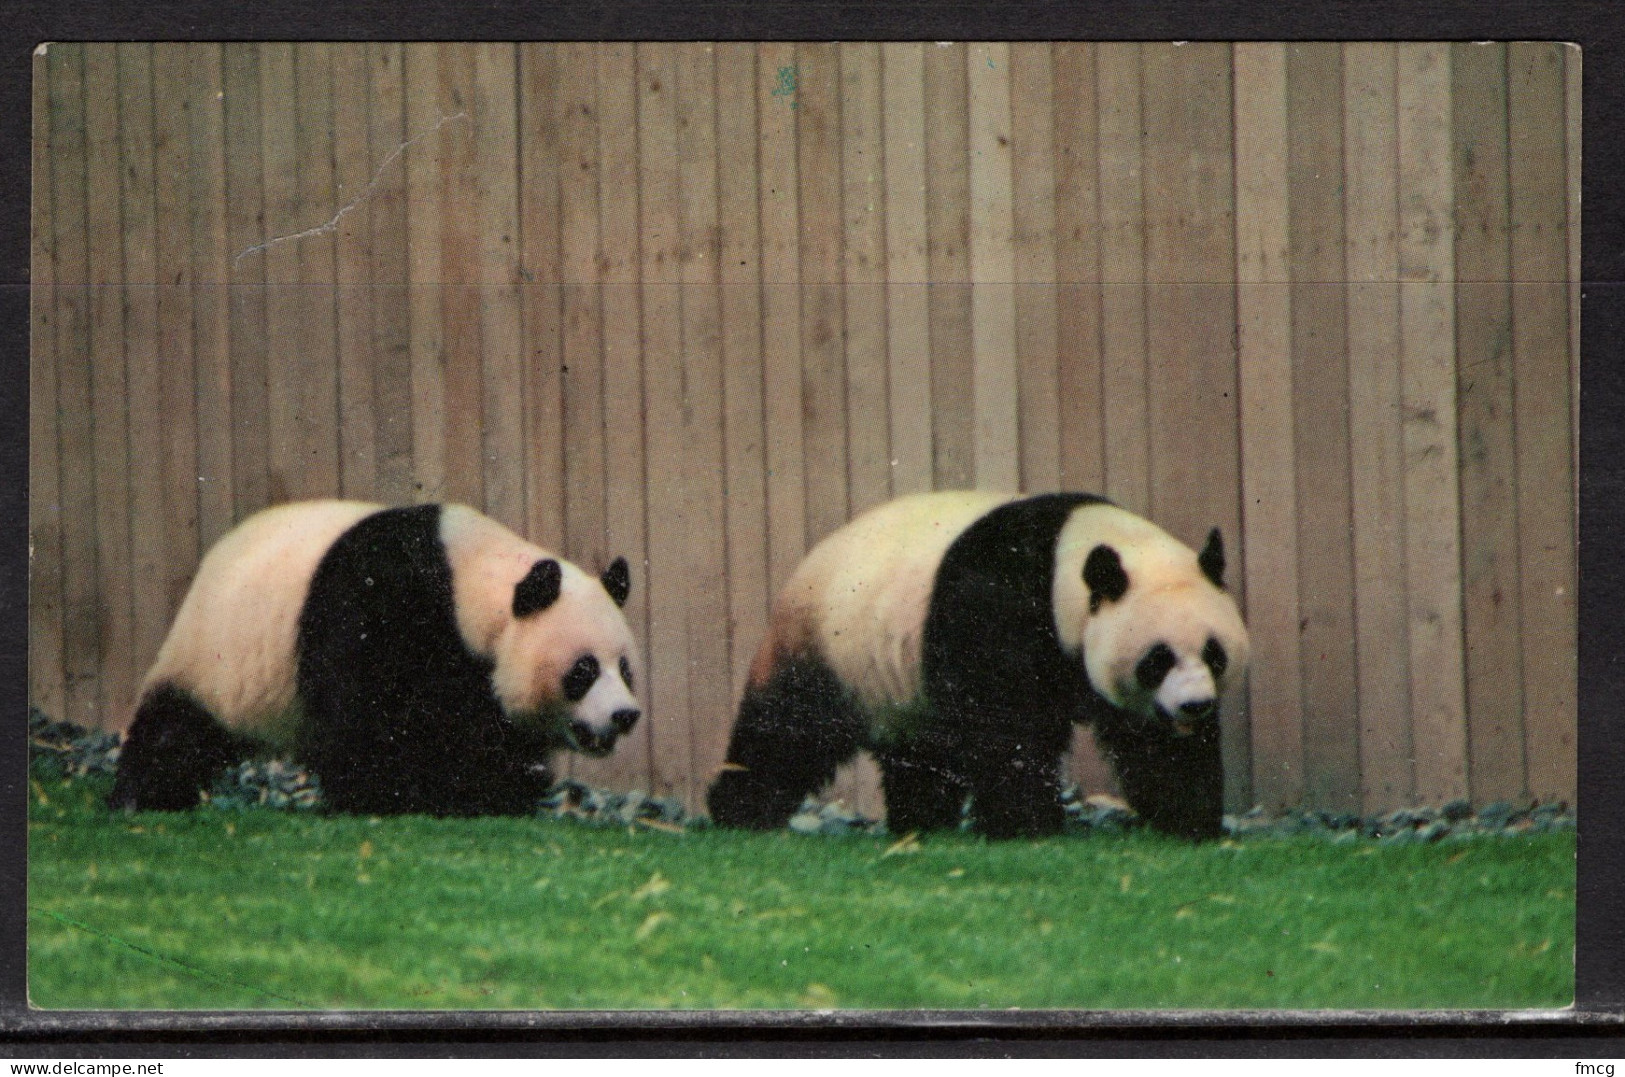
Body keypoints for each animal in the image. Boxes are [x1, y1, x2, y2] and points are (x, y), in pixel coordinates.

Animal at [106, 503, 640, 818]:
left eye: (625, 669)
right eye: (584, 670)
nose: (625, 715)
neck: (470, 581)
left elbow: (489, 728)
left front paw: (503, 787)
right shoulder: (380, 602)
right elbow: (368, 715)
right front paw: (399, 794)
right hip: (215, 658)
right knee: (176, 730)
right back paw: (143, 795)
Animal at [705, 490, 1248, 844]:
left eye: (1214, 654)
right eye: (1158, 660)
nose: (1195, 705)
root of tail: (805, 565)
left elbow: (1154, 744)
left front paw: (1189, 820)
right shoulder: (999, 605)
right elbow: (1006, 725)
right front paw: (1027, 824)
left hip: (903, 680)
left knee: (920, 752)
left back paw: (922, 818)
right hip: (833, 647)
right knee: (790, 729)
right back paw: (741, 807)